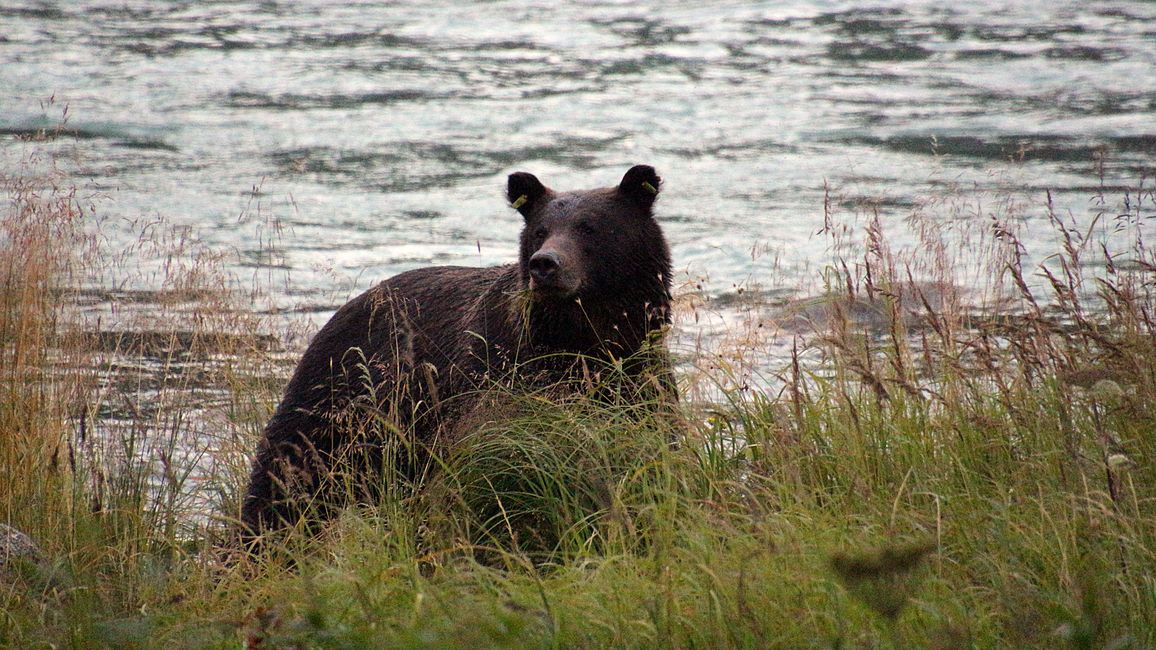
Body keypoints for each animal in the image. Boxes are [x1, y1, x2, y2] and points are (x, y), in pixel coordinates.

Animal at [241, 164, 675, 538]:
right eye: (540, 230)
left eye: (590, 227)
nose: (545, 264)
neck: (583, 338)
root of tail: (342, 310)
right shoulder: (496, 375)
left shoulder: (638, 375)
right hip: (340, 402)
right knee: (284, 483)